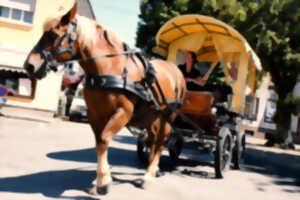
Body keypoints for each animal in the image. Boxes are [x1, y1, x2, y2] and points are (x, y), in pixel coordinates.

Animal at [23, 2, 186, 195]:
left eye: (54, 35)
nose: (29, 65)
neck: (109, 68)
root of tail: (175, 69)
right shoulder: (95, 115)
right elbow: (99, 143)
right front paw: (99, 179)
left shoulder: (123, 112)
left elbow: (104, 139)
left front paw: (104, 181)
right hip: (152, 116)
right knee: (152, 140)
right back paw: (151, 170)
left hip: (167, 116)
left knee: (161, 142)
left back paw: (149, 175)